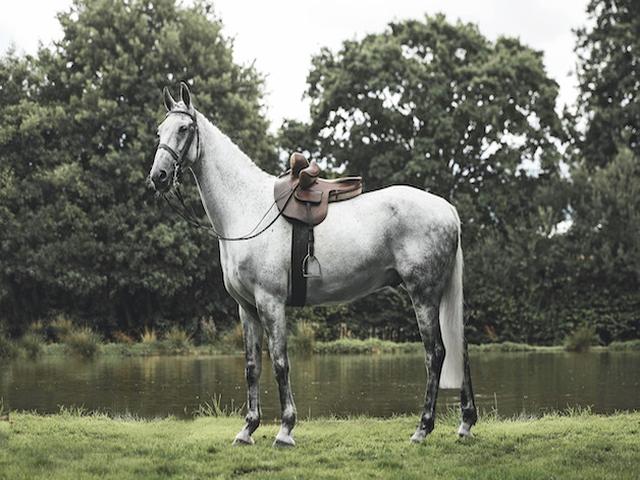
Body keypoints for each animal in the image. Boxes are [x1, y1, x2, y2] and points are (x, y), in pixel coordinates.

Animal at [149, 82, 477, 446]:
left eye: (184, 128)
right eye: (160, 131)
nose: (158, 176)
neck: (247, 207)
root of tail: (447, 209)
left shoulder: (271, 302)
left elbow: (280, 363)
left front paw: (285, 429)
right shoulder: (246, 308)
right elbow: (252, 367)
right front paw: (247, 429)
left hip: (423, 295)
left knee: (436, 354)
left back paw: (422, 428)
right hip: (438, 296)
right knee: (460, 349)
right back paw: (465, 424)